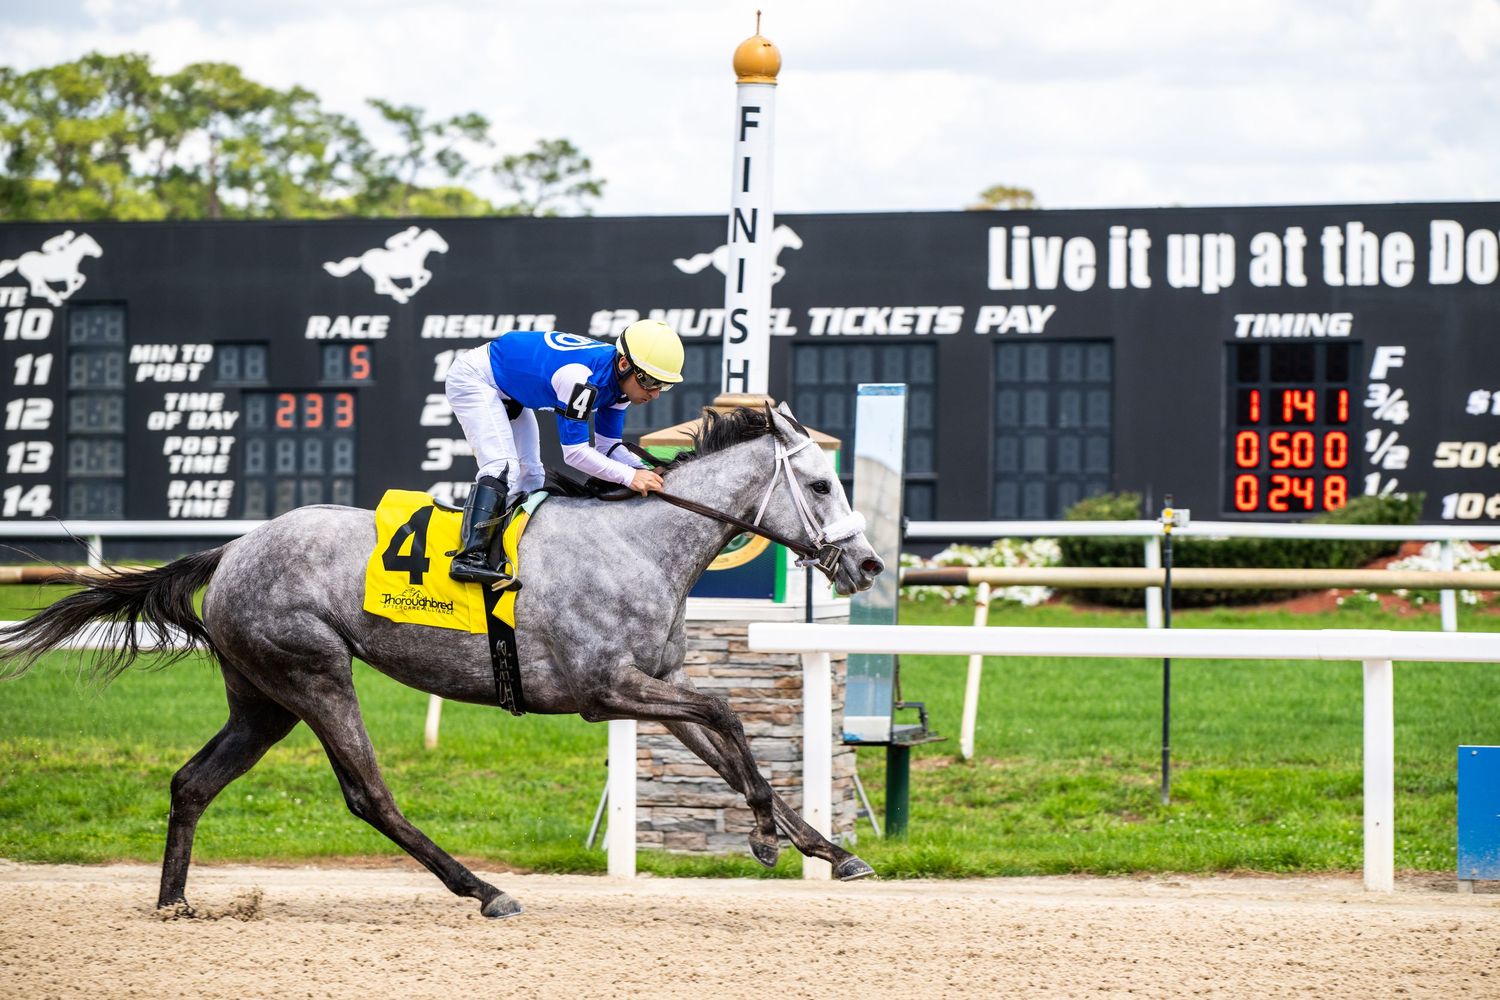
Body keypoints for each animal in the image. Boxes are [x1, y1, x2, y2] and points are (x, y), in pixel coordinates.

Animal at [0, 404, 884, 918]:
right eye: (820, 483)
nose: (869, 564)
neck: (640, 544)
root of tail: (235, 547)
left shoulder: (654, 685)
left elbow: (730, 749)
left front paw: (828, 851)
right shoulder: (606, 689)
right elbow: (731, 715)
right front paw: (768, 841)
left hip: (262, 698)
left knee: (192, 782)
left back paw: (173, 901)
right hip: (314, 673)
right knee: (369, 796)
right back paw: (483, 890)